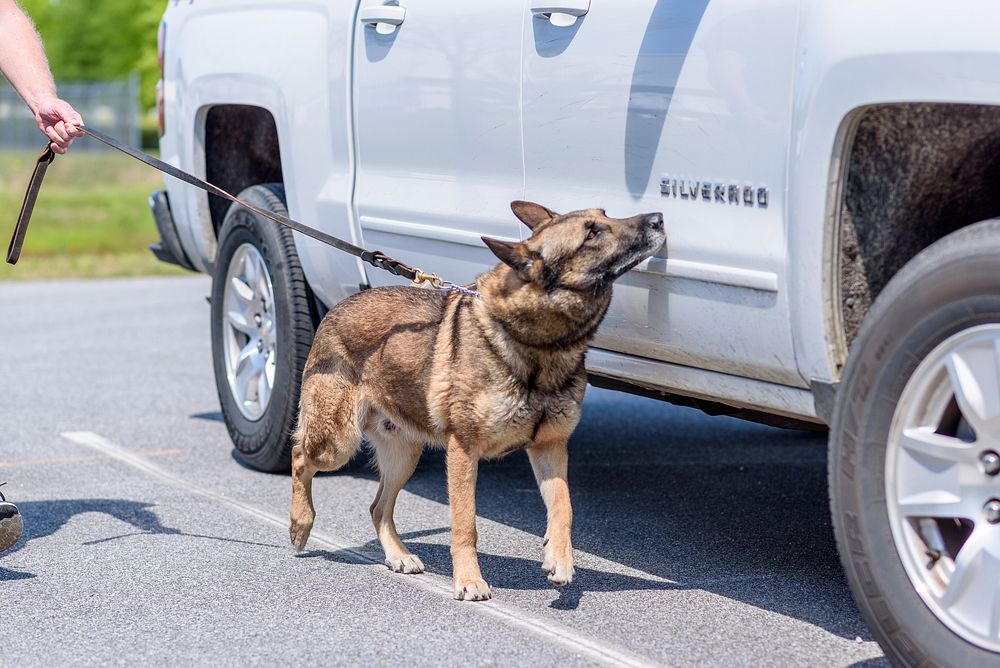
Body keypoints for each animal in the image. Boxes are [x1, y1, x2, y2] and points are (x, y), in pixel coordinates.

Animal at [290, 202, 664, 600]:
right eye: (591, 233)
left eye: (605, 215)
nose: (659, 218)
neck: (539, 346)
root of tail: (339, 305)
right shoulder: (463, 451)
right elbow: (465, 523)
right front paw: (469, 579)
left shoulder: (550, 448)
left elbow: (564, 507)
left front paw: (560, 559)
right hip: (337, 442)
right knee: (300, 458)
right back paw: (300, 523)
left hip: (404, 453)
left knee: (378, 507)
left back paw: (398, 555)